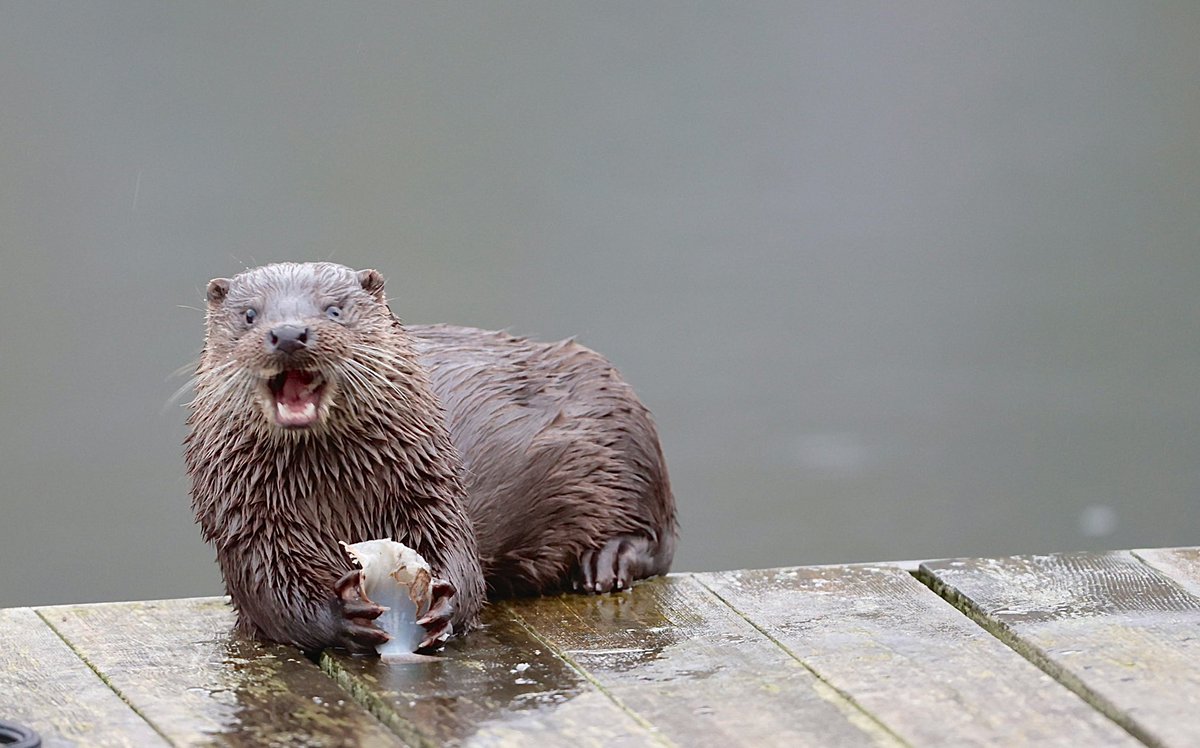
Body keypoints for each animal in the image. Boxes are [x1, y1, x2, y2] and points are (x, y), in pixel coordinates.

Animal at [186, 262, 677, 653]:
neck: (334, 493)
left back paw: (607, 560)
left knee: (658, 541)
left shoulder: (430, 485)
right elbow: (271, 594)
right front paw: (340, 614)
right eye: (250, 315)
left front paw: (445, 602)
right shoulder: (246, 524)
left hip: (622, 426)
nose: (289, 333)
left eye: (334, 310)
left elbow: (461, 557)